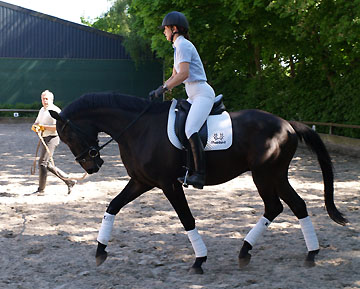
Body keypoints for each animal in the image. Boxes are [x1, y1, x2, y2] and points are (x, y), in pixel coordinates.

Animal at [49, 92, 348, 272]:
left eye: (69, 136)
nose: (92, 166)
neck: (138, 128)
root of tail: (286, 124)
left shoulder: (168, 183)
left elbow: (186, 219)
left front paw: (199, 259)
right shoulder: (141, 181)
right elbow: (112, 206)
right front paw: (100, 250)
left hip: (265, 174)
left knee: (276, 206)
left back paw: (254, 250)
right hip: (275, 174)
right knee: (295, 206)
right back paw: (304, 253)